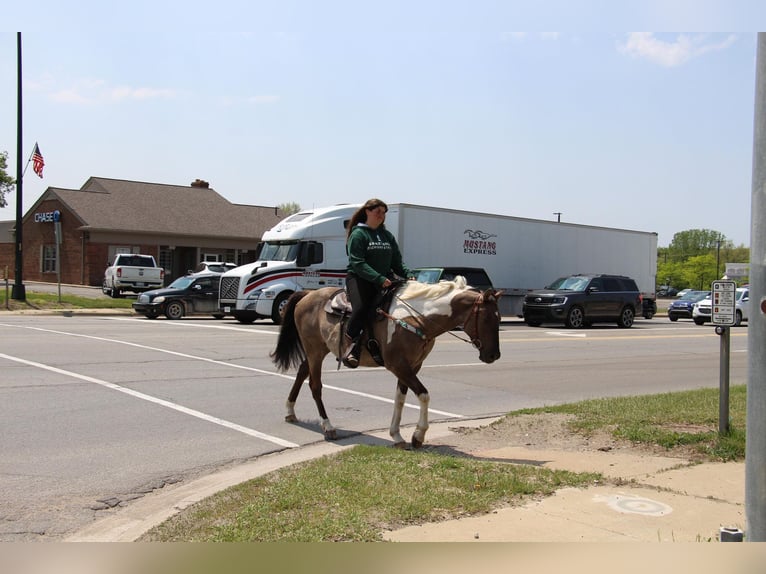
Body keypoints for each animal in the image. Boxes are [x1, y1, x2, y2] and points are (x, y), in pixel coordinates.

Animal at [270, 278, 504, 450]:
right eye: (486, 319)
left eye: (499, 319)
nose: (493, 355)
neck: (417, 318)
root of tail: (307, 294)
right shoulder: (398, 365)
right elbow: (423, 395)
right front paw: (418, 435)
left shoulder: (412, 366)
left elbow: (400, 398)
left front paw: (397, 435)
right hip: (315, 349)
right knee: (315, 385)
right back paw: (328, 427)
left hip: (318, 350)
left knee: (302, 371)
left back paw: (290, 411)